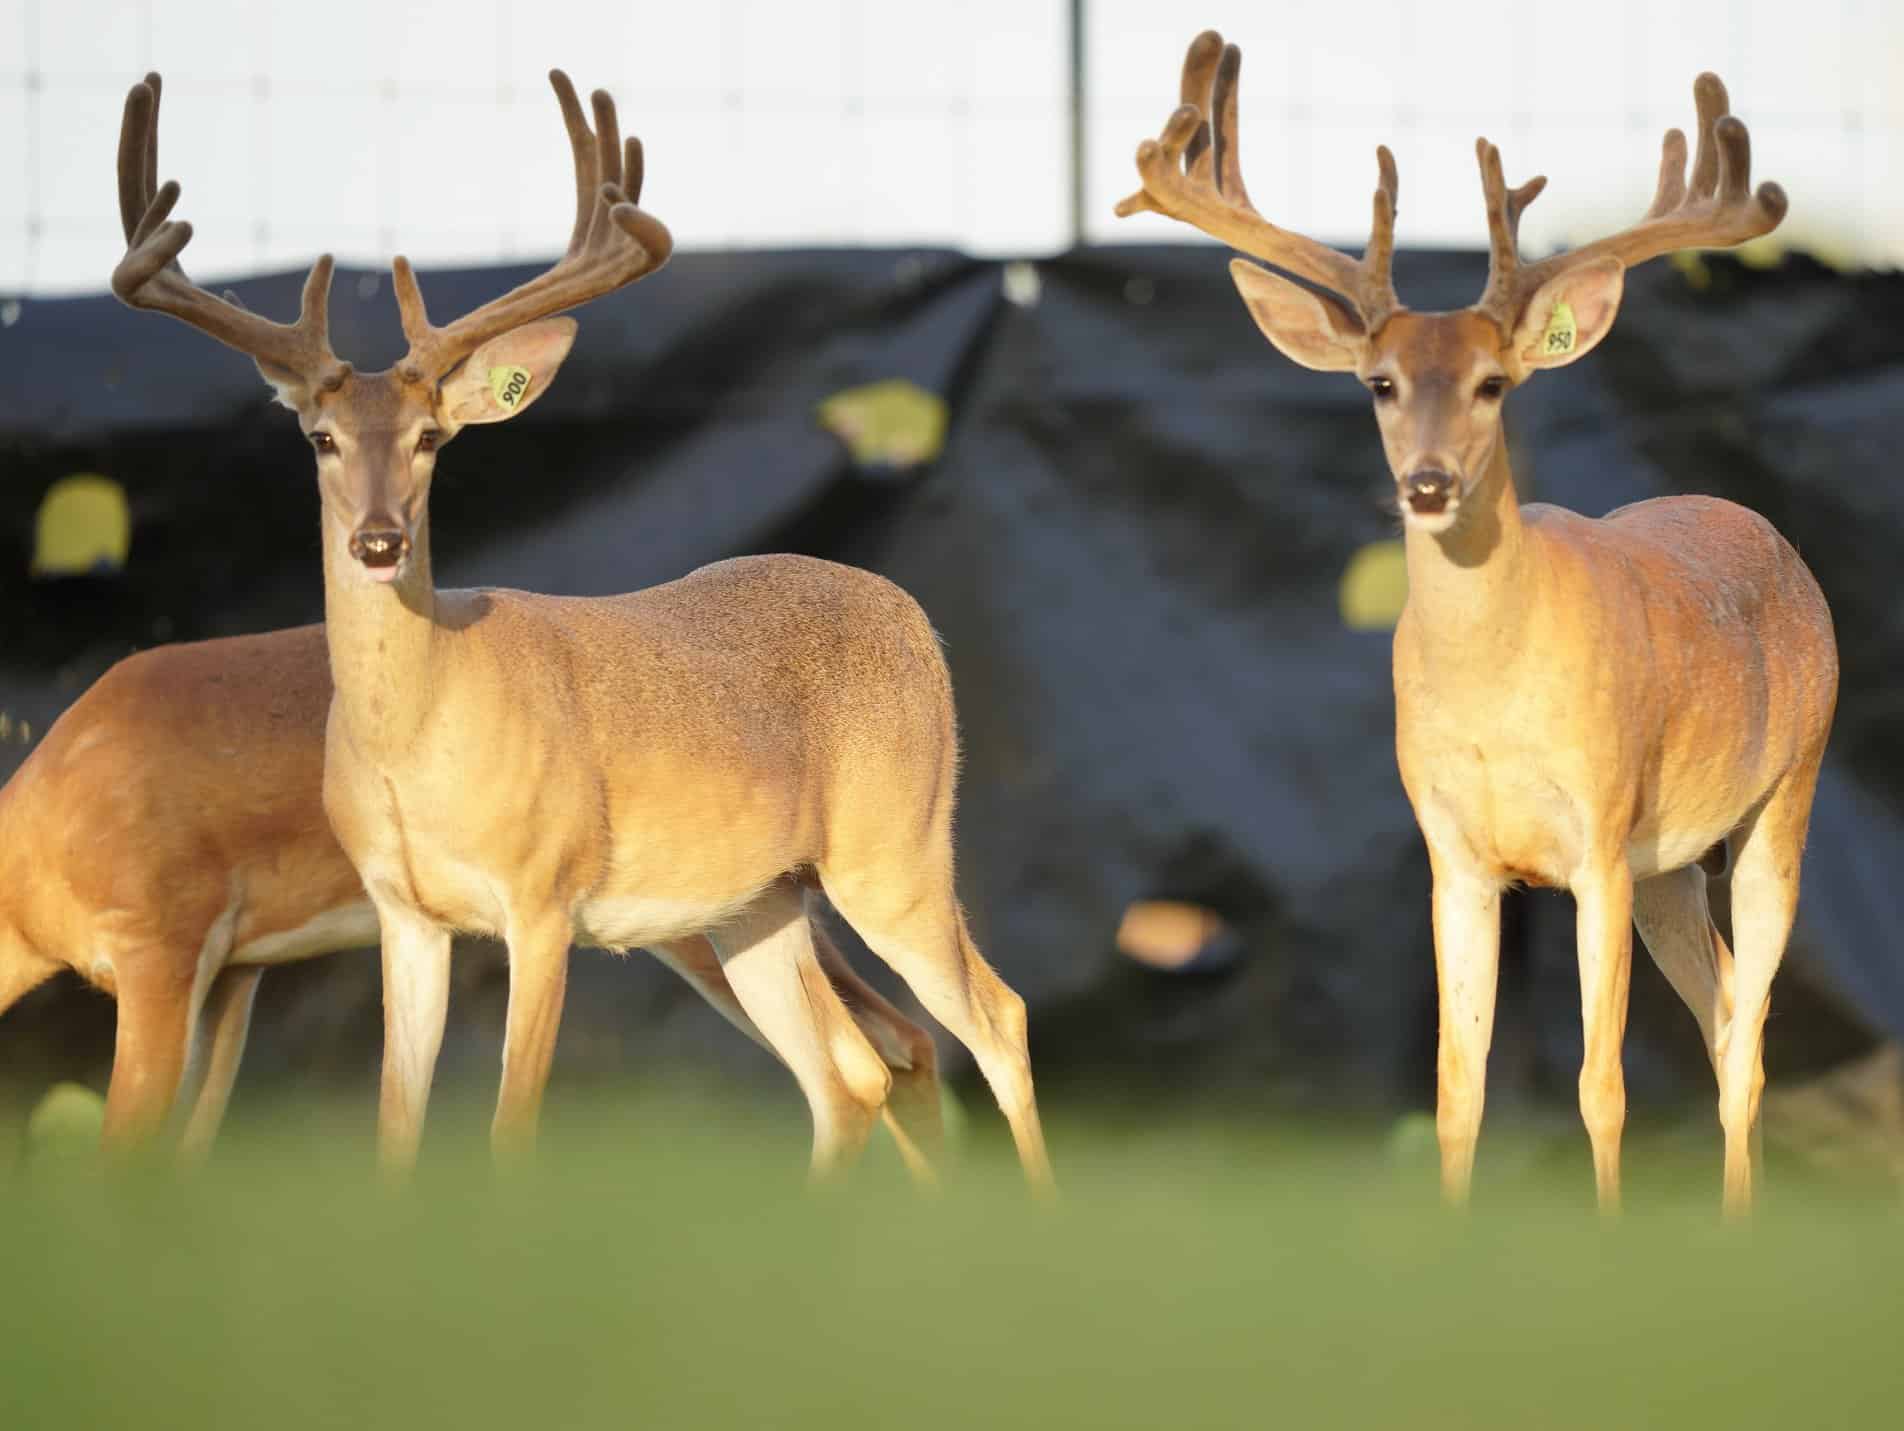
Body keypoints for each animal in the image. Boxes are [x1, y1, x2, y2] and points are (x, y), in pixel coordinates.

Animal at [108, 70, 1053, 1191]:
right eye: (322, 437)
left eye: (431, 438)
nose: (379, 541)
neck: (418, 739)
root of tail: (911, 614)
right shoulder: (404, 913)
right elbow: (394, 1128)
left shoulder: (544, 895)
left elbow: (510, 1127)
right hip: (759, 903)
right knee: (851, 1074)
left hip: (893, 849)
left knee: (995, 1017)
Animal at [1119, 31, 1837, 1214]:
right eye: (1377, 382)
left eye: (1496, 383)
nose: (1426, 484)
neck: (1495, 697)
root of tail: (1766, 530)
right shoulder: (1453, 852)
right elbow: (1457, 1087)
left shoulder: (1598, 839)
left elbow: (1600, 1085)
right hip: (1670, 867)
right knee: (1730, 1007)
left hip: (1784, 796)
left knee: (1750, 1037)